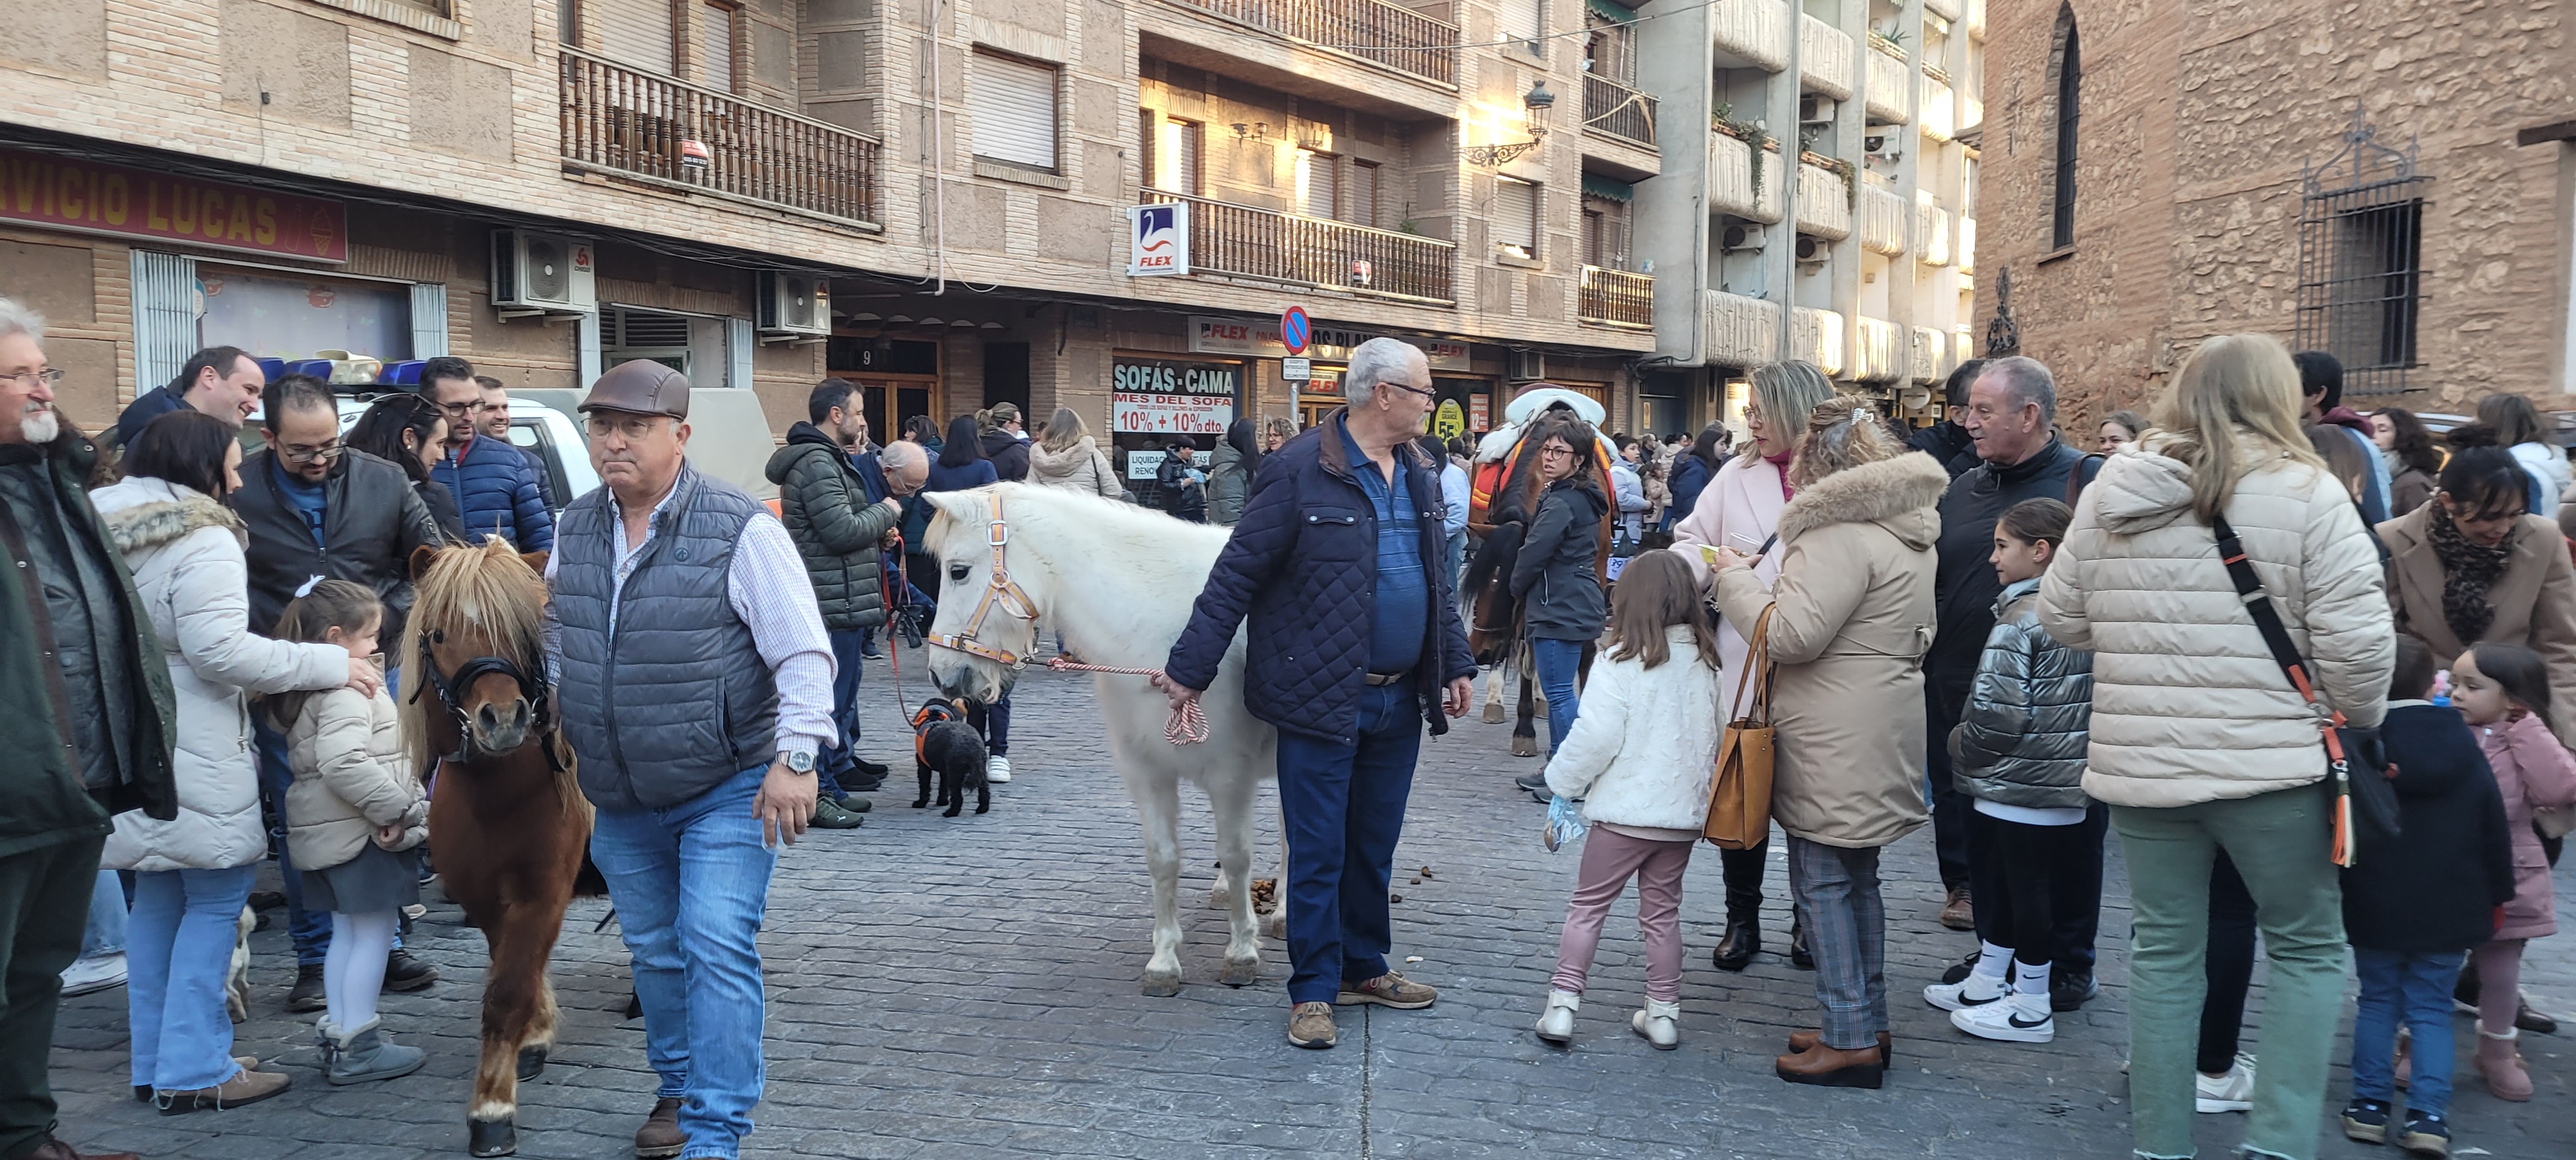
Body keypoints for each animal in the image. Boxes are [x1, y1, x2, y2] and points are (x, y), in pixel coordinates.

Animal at [401, 544, 592, 1159]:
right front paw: (536, 1034)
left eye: (522, 628)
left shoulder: (544, 892)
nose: (503, 719)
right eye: (439, 634)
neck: (500, 787)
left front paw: (491, 1107)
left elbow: (507, 992)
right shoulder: (483, 897)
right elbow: (512, 969)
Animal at [907, 696, 984, 814]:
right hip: (980, 771)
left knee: (958, 797)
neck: (935, 717)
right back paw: (983, 809)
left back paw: (951, 813)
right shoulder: (945, 770)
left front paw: (921, 803)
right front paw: (942, 801)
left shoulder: (923, 766)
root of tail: (973, 746)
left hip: (955, 773)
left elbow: (925, 785)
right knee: (985, 791)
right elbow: (943, 786)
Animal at [922, 482, 1282, 995]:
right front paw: (1164, 962)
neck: (1164, 629)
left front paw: (1242, 953)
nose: (943, 674)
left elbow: (1236, 855)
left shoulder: (1230, 776)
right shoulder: (1146, 773)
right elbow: (1162, 859)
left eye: (958, 571)